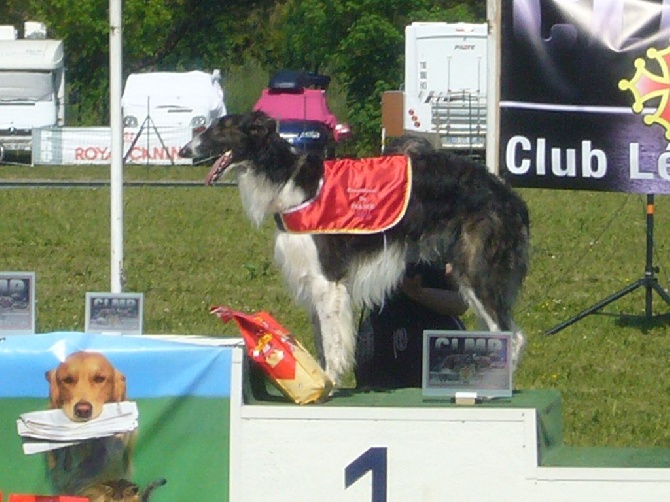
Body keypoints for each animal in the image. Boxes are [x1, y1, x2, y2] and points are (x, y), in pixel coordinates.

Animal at [181, 112, 532, 386]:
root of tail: (510, 197)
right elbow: (322, 339)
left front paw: (330, 381)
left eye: (221, 126)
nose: (185, 150)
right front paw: (322, 381)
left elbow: (333, 340)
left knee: (513, 335)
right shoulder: (312, 278)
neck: (288, 179)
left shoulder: (328, 279)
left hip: (477, 270)